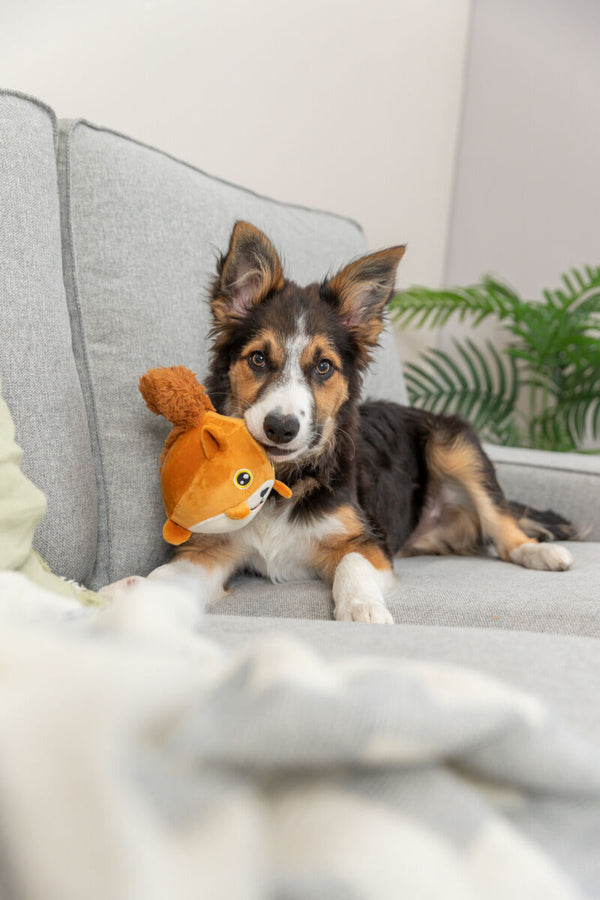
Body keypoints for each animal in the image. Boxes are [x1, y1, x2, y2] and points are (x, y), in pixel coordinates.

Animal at [124, 221, 576, 624]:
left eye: (324, 367)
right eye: (258, 359)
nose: (280, 428)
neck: (284, 481)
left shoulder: (369, 541)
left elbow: (351, 565)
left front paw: (362, 608)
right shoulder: (211, 549)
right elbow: (164, 575)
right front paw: (124, 596)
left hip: (453, 443)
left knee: (501, 523)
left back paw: (540, 551)